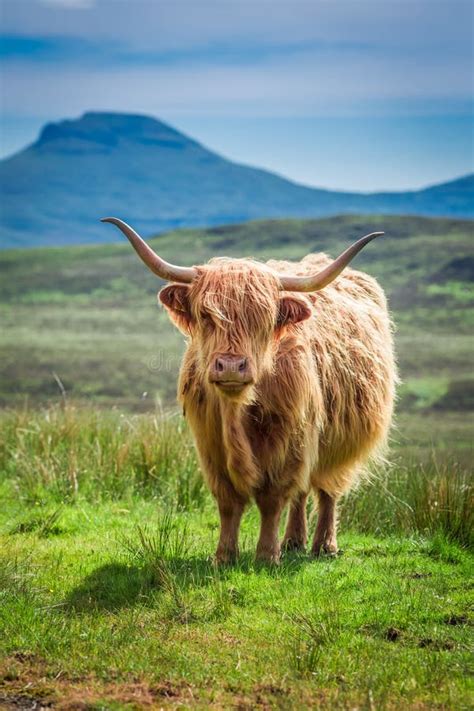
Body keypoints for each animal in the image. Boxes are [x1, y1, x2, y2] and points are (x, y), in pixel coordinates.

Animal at [103, 217, 396, 560]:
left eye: (263, 318)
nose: (231, 366)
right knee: (303, 492)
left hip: (342, 439)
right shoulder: (210, 445)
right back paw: (294, 541)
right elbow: (228, 502)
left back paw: (324, 545)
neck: (237, 412)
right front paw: (225, 555)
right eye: (206, 315)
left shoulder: (289, 440)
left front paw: (267, 555)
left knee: (326, 489)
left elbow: (273, 499)